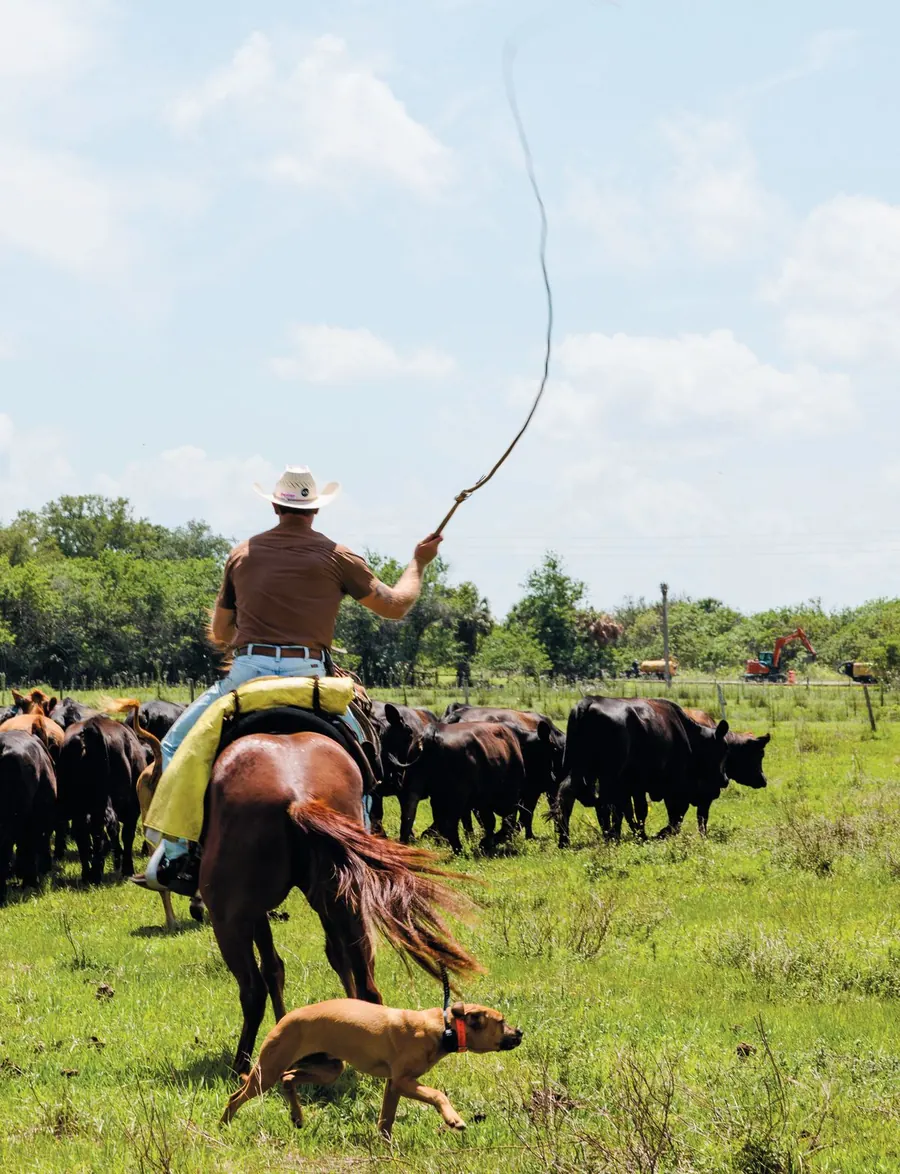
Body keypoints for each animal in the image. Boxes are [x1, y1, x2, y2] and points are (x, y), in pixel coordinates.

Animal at [389, 721, 525, 854]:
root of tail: (432, 731)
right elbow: (502, 824)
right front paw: (485, 843)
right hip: (458, 797)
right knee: (450, 824)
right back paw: (459, 850)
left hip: (415, 788)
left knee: (408, 817)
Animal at [556, 696, 730, 847]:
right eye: (724, 749)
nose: (725, 780)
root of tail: (590, 700)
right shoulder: (669, 782)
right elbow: (670, 813)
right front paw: (655, 834)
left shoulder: (631, 785)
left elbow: (629, 811)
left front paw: (638, 834)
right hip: (607, 776)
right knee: (603, 804)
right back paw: (608, 837)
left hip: (576, 769)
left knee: (567, 798)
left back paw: (566, 841)